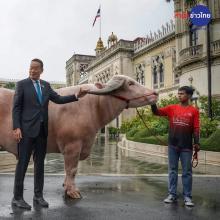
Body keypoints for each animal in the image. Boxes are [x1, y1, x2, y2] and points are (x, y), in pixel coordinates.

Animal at [0, 75, 158, 199]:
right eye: (130, 83)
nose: (155, 93)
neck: (95, 106)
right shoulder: (72, 145)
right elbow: (72, 169)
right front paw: (72, 191)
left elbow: (68, 170)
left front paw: (66, 185)